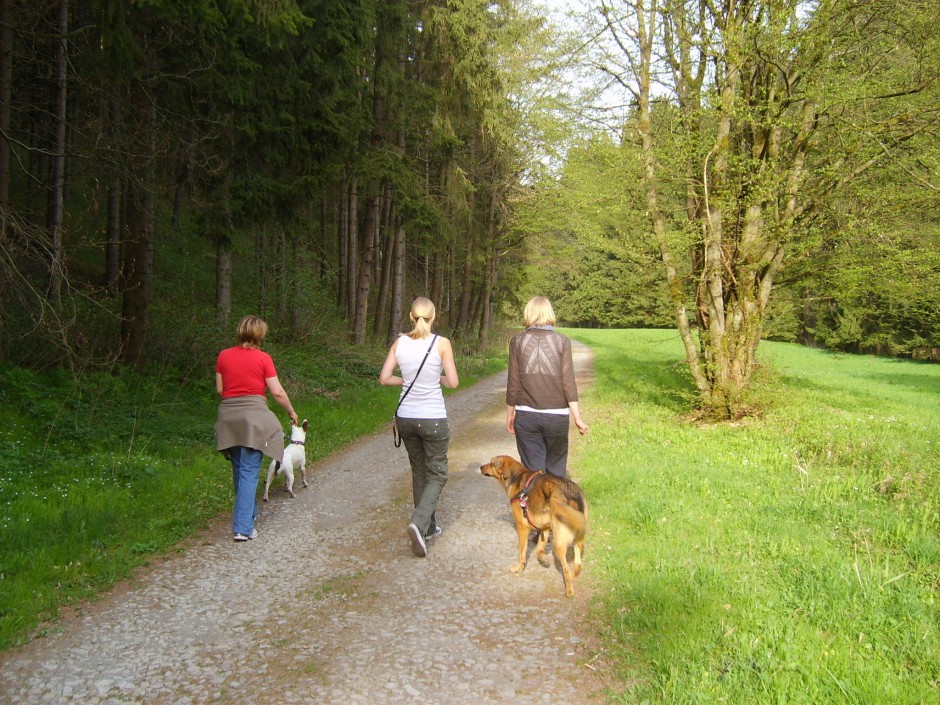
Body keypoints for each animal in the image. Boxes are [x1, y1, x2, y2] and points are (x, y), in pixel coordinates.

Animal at [478, 456, 588, 592]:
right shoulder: (544, 527)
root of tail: (570, 493)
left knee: (566, 568)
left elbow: (522, 553)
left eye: (492, 463)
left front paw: (518, 568)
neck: (517, 476)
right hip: (576, 536)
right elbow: (539, 549)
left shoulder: (522, 527)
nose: (480, 467)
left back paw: (569, 592)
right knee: (578, 561)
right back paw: (574, 575)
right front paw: (543, 560)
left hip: (559, 542)